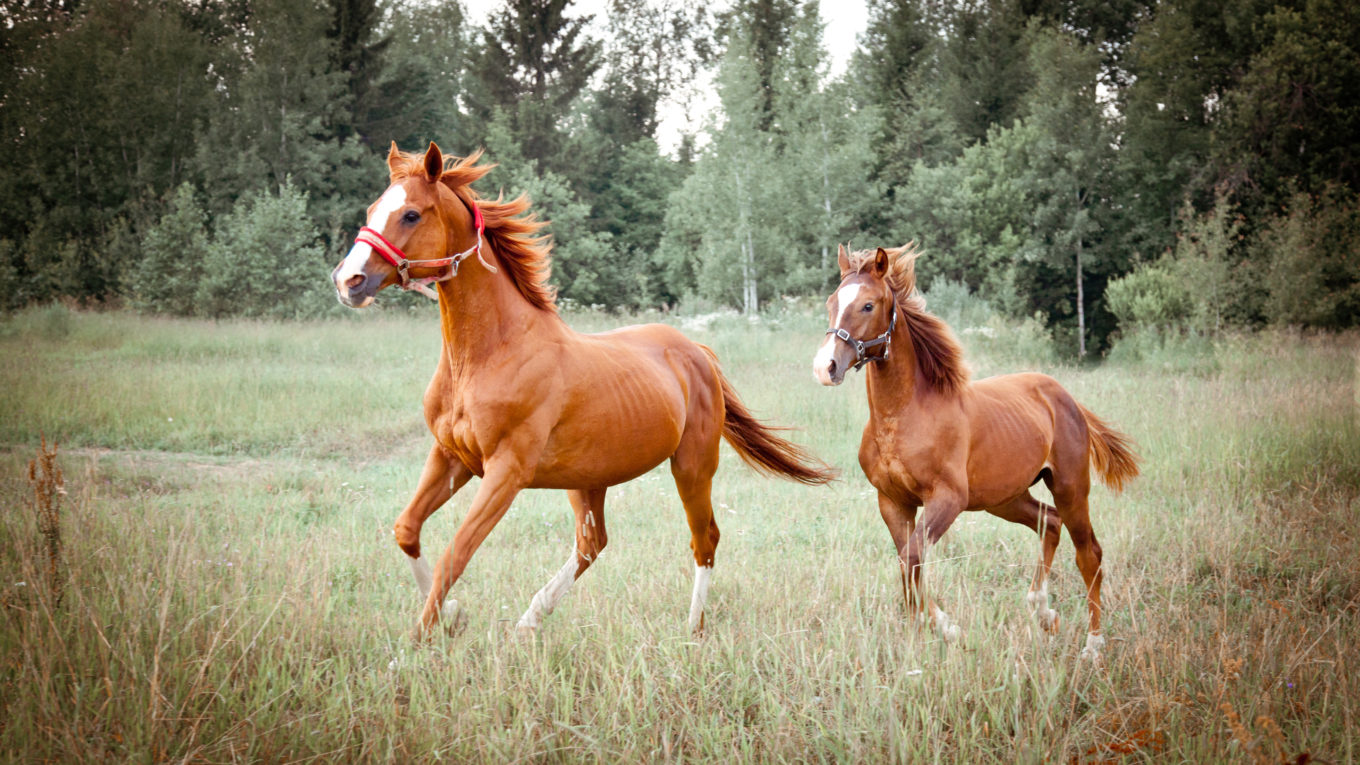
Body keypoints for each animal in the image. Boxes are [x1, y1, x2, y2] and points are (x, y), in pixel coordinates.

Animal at [331, 141, 837, 637]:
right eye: (373, 208)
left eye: (411, 214)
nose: (348, 281)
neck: (489, 355)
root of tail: (695, 350)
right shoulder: (452, 457)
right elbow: (407, 530)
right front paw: (454, 616)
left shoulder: (505, 471)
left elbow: (454, 555)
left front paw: (416, 644)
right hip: (589, 478)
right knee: (592, 543)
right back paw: (529, 622)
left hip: (692, 466)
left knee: (703, 539)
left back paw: (691, 628)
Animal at [810, 242, 1142, 656]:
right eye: (831, 301)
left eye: (868, 305)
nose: (825, 367)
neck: (905, 415)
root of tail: (1066, 397)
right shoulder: (892, 501)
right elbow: (907, 560)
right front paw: (924, 627)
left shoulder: (947, 498)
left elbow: (912, 557)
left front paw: (944, 626)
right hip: (1005, 498)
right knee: (1049, 522)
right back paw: (1043, 612)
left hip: (1070, 487)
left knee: (1089, 553)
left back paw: (1093, 645)